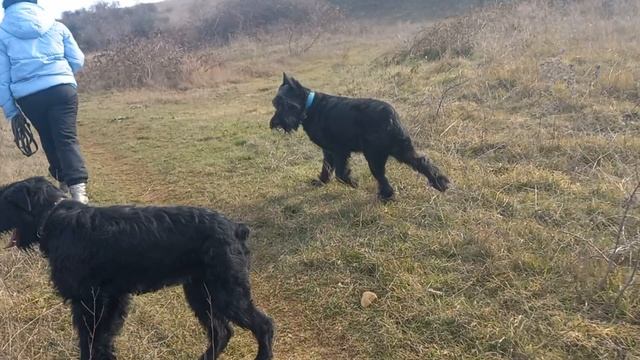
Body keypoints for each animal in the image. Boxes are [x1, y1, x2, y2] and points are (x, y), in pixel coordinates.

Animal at [0, 177, 272, 360]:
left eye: (5, 201)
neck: (54, 217)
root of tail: (236, 228)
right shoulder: (112, 299)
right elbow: (103, 338)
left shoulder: (89, 301)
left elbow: (89, 339)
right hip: (201, 294)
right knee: (222, 331)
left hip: (227, 293)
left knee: (264, 325)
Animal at [270, 73, 450, 201]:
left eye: (283, 104)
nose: (274, 123)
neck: (310, 106)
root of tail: (390, 116)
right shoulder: (328, 151)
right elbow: (326, 168)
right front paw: (321, 181)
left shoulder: (339, 150)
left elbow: (340, 173)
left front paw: (352, 182)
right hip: (401, 149)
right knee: (421, 161)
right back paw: (441, 183)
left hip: (374, 156)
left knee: (381, 176)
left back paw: (387, 196)